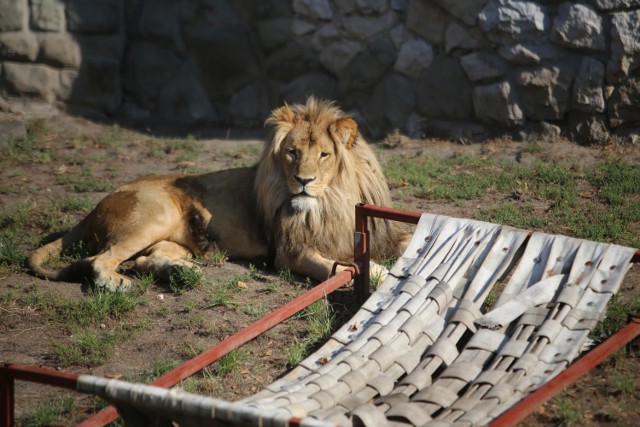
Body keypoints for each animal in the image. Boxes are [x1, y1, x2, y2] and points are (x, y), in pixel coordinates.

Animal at [27, 98, 408, 290]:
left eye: (324, 155)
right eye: (292, 153)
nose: (303, 180)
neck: (331, 201)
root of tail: (91, 211)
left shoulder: (384, 233)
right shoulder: (290, 253)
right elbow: (341, 266)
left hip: (173, 239)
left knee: (143, 260)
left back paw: (180, 273)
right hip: (154, 214)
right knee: (100, 260)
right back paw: (117, 283)